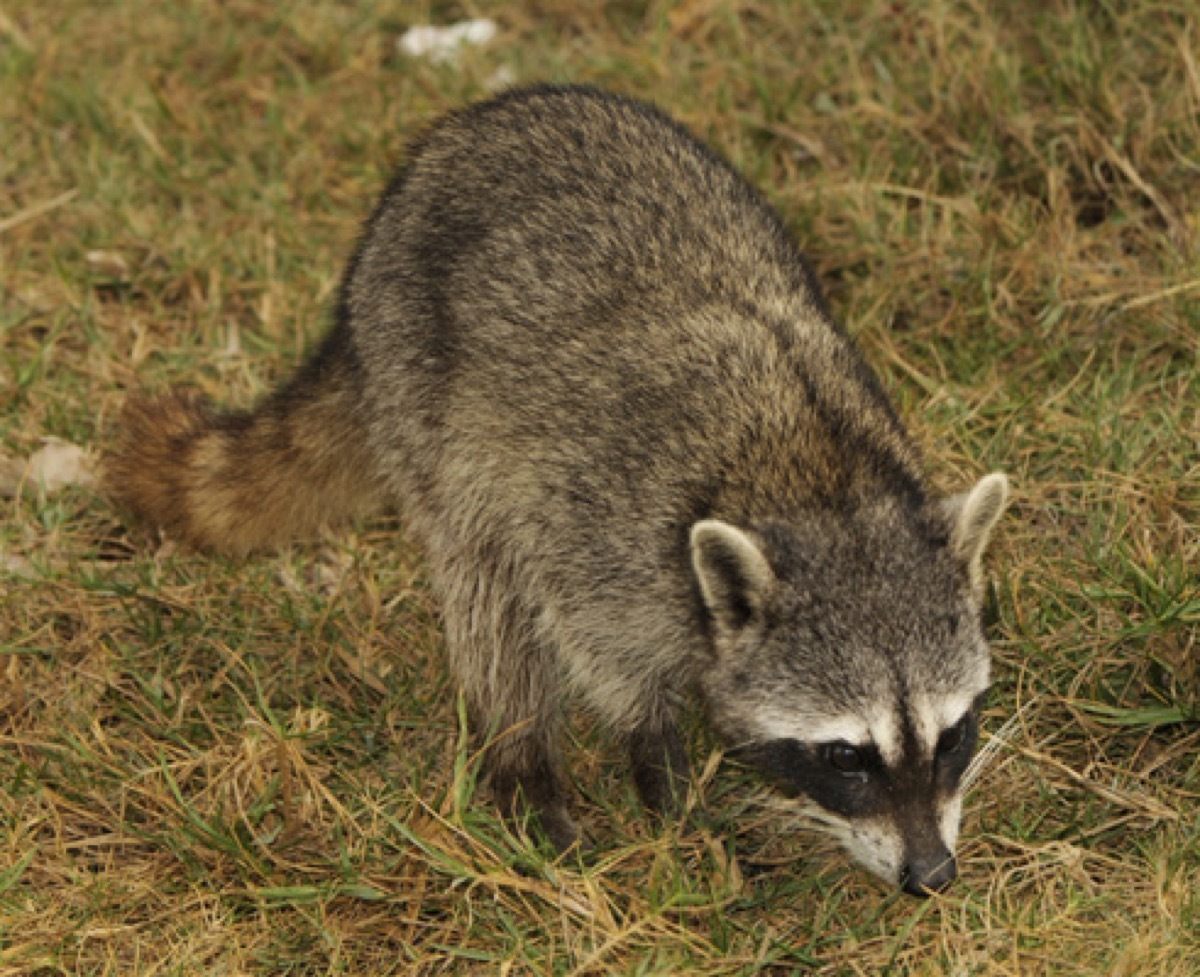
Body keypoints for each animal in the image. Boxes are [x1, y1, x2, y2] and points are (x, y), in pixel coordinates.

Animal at [103, 84, 1008, 892]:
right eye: (847, 755)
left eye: (951, 735)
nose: (933, 875)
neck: (820, 484)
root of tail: (465, 130)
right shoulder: (600, 527)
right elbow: (604, 657)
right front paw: (665, 783)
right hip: (425, 390)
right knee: (486, 591)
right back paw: (524, 757)